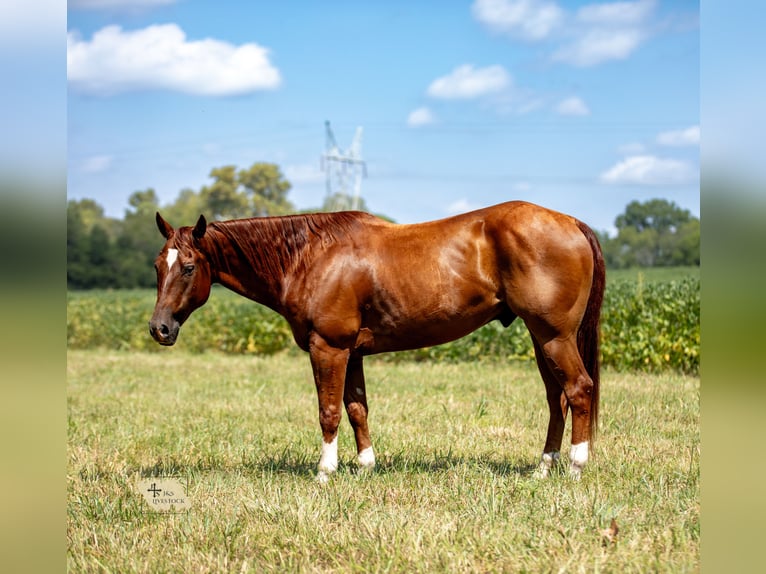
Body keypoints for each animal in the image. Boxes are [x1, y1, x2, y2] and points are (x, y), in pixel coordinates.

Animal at [149, 201, 605, 481]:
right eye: (158, 265)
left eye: (188, 267)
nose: (159, 329)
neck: (311, 256)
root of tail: (572, 222)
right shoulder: (353, 353)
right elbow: (357, 409)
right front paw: (366, 465)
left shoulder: (328, 347)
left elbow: (329, 412)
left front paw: (325, 472)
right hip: (541, 339)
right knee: (557, 399)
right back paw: (543, 468)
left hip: (554, 336)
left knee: (579, 390)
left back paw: (576, 466)